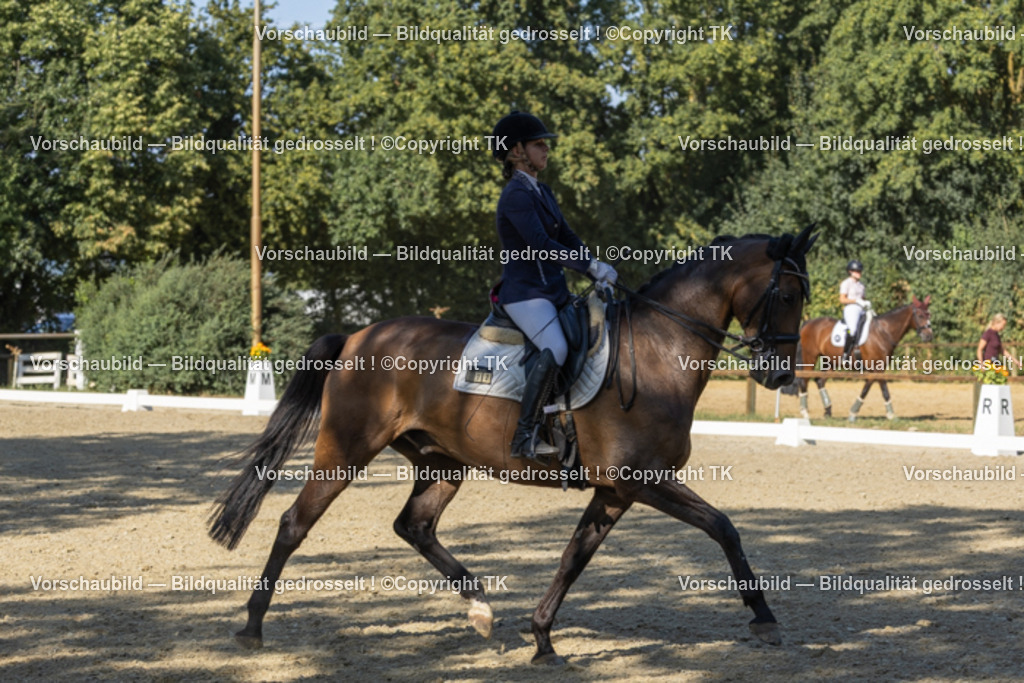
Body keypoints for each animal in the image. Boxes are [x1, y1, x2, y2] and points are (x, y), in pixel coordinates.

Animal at [208, 227, 818, 664]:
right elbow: (722, 526)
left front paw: (543, 638)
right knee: (294, 524)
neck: (656, 353)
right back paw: (252, 627)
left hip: (441, 461)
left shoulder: (615, 491)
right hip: (345, 450)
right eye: (788, 293)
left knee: (415, 526)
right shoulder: (639, 481)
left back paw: (479, 607)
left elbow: (575, 557)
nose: (780, 374)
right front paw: (764, 618)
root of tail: (358, 335)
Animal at [795, 295, 933, 421]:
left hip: (831, 361)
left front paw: (853, 413)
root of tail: (808, 323)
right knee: (804, 380)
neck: (883, 332)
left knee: (820, 381)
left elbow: (866, 389)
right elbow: (884, 390)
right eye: (920, 315)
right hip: (810, 358)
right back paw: (805, 413)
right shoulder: (878, 369)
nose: (929, 336)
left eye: (929, 315)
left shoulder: (874, 370)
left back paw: (828, 411)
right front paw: (891, 415)